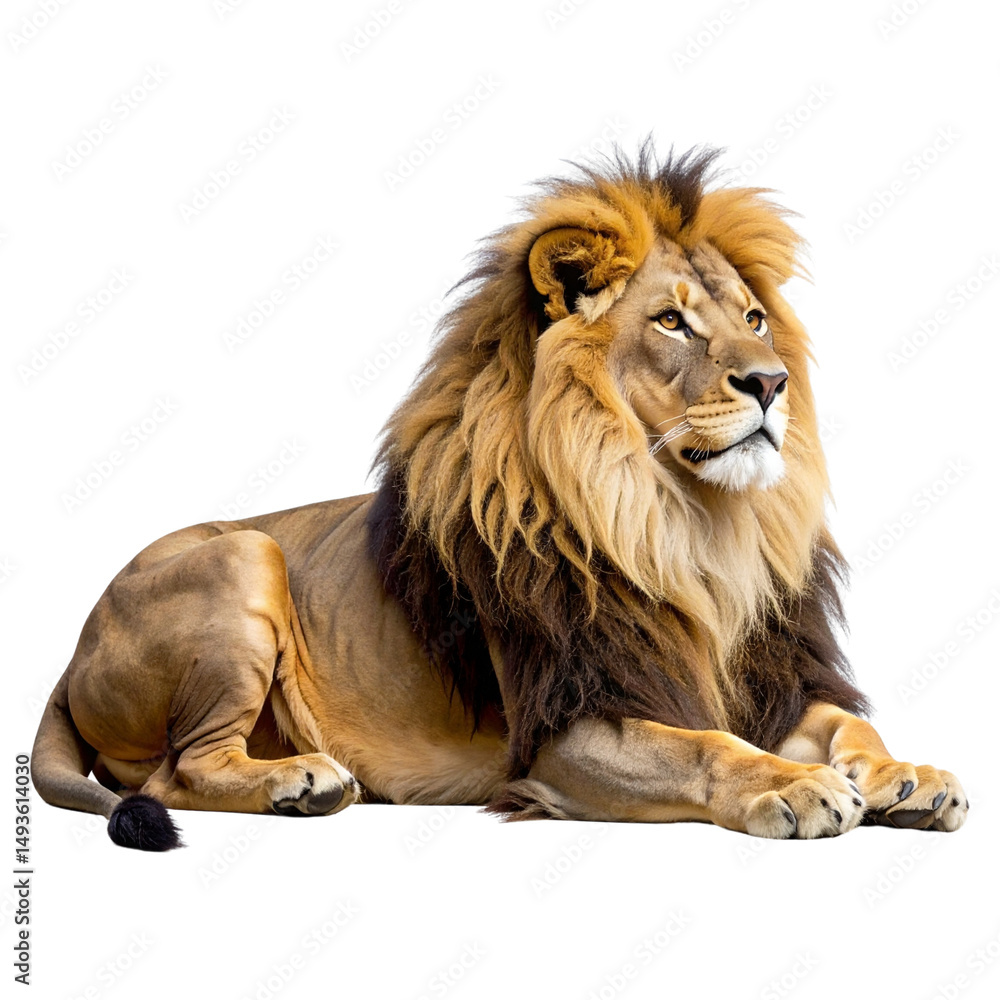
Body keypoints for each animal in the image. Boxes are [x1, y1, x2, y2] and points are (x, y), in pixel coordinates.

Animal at [32, 145, 968, 849]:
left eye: (754, 318)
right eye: (671, 322)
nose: (772, 383)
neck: (686, 524)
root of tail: (71, 655)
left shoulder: (767, 678)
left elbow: (848, 724)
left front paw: (907, 776)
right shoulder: (566, 728)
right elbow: (709, 747)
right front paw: (797, 786)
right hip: (243, 555)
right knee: (178, 770)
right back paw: (301, 781)